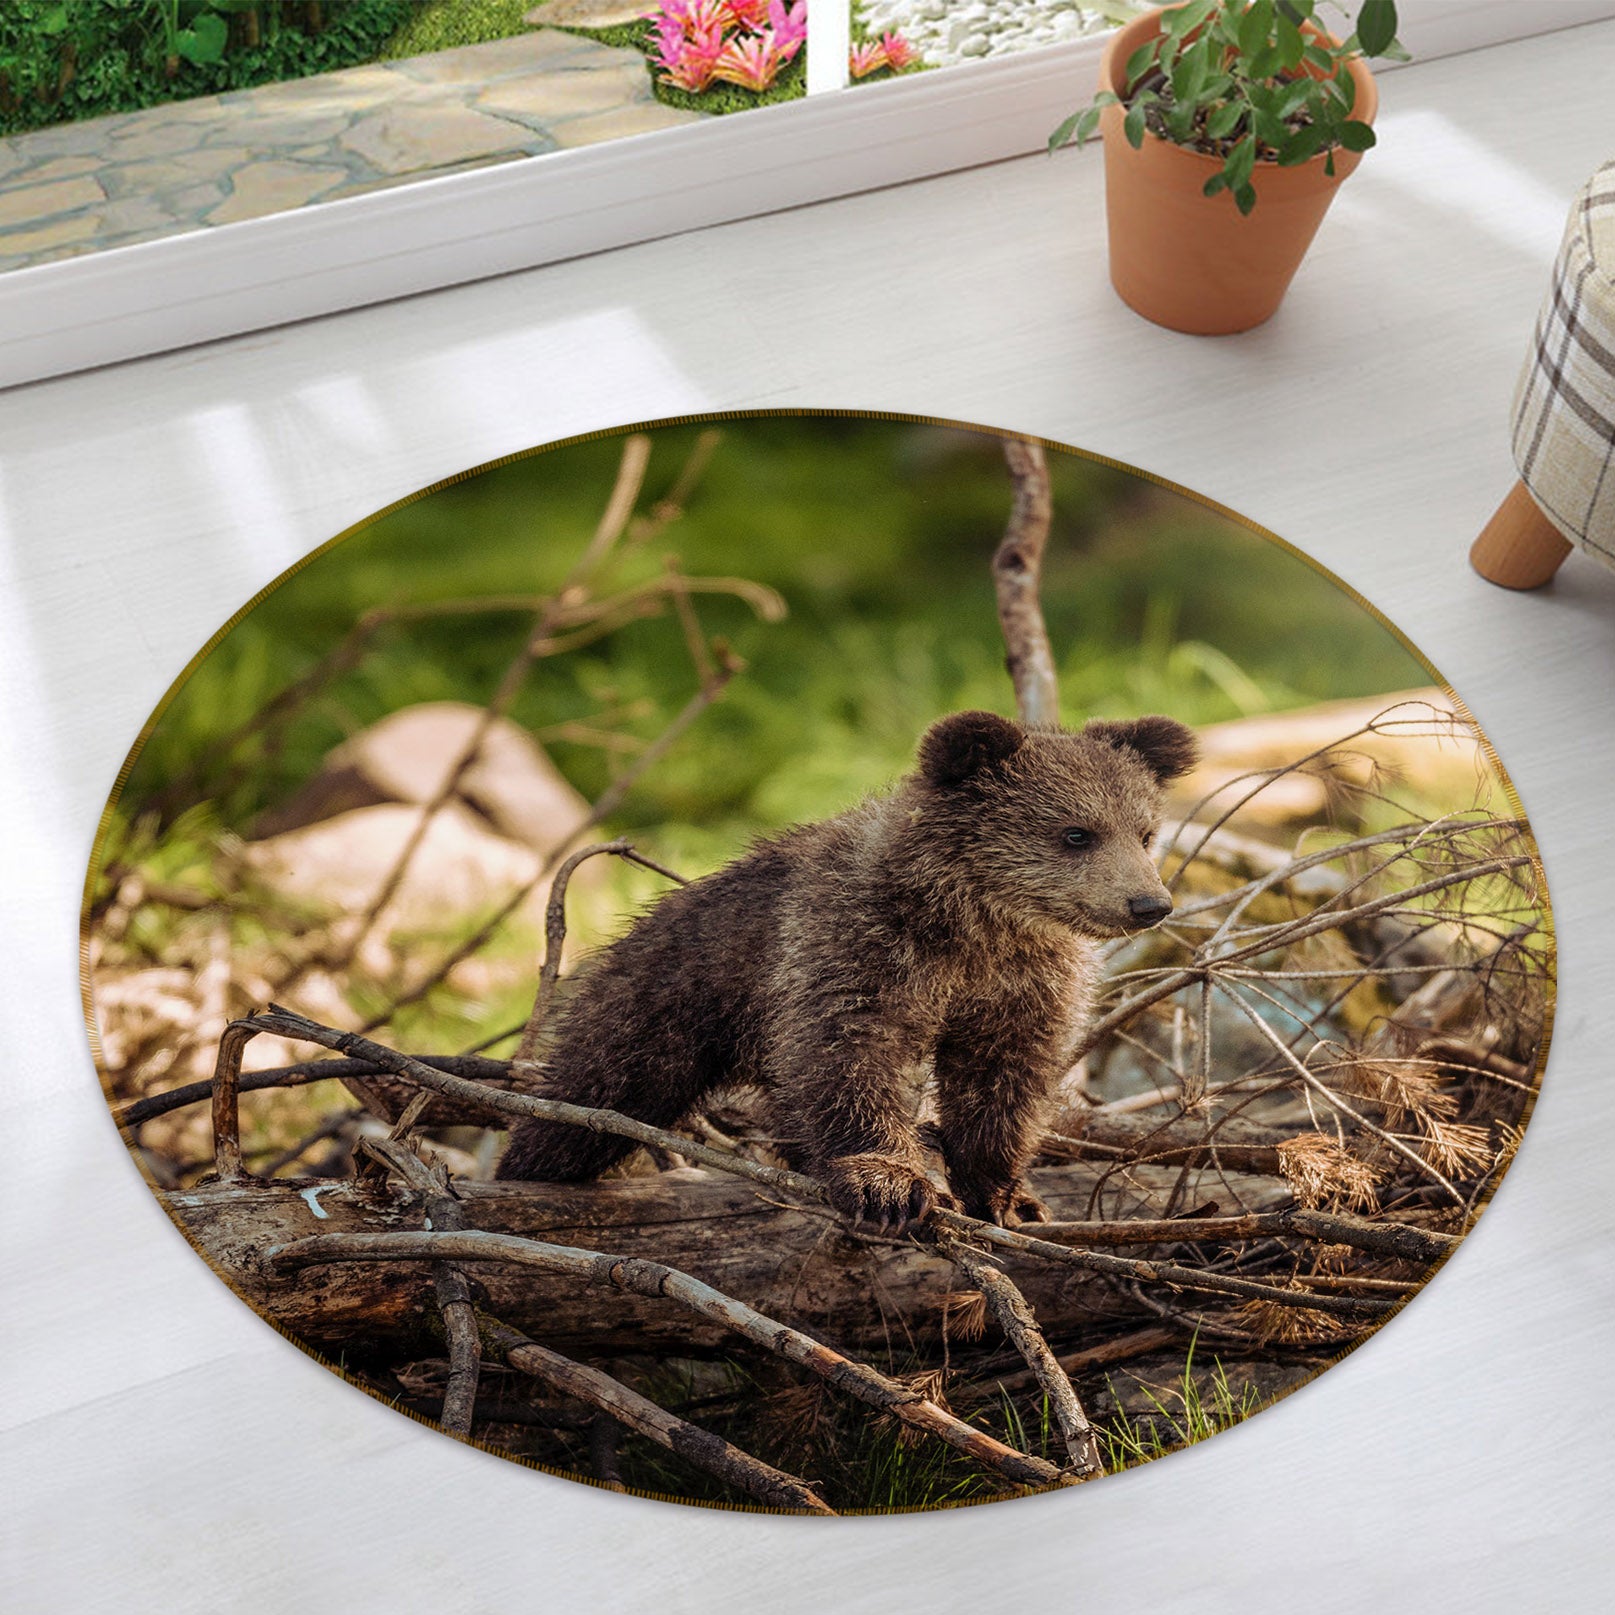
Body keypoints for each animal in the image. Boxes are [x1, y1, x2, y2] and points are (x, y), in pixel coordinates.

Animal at [496, 708, 1197, 1233]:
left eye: (1145, 831)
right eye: (1076, 833)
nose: (1149, 904)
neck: (974, 923)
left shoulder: (1021, 983)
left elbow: (1004, 1078)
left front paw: (1007, 1195)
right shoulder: (857, 947)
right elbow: (849, 1053)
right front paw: (888, 1182)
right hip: (664, 1000)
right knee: (594, 1093)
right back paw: (529, 1168)